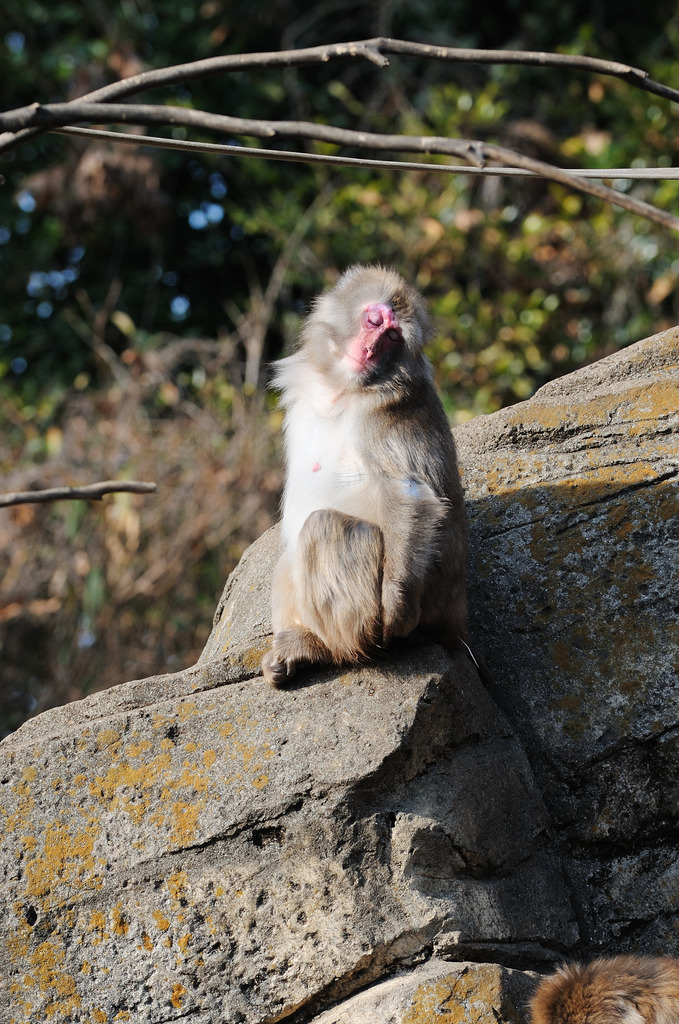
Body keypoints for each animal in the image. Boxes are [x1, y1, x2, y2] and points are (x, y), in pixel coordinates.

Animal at [262, 268, 471, 692]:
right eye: (375, 321)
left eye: (393, 338)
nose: (371, 349)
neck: (342, 389)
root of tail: (454, 618)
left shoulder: (386, 413)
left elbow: (409, 493)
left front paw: (396, 604)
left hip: (426, 602)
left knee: (322, 526)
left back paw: (331, 649)